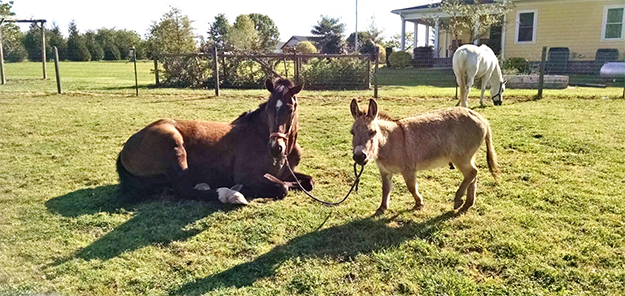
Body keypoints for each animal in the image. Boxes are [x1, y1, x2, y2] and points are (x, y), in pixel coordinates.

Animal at [116, 78, 314, 204]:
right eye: (270, 107)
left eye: (291, 109)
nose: (275, 148)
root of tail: (126, 148)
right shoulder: (248, 176)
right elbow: (282, 187)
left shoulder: (287, 173)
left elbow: (308, 182)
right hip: (172, 143)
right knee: (185, 190)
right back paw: (229, 193)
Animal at [348, 100, 500, 214]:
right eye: (352, 132)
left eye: (372, 132)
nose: (359, 157)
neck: (388, 142)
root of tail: (481, 118)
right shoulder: (385, 171)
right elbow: (385, 189)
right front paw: (382, 208)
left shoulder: (408, 169)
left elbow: (411, 187)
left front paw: (419, 203)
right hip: (468, 156)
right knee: (473, 175)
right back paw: (468, 203)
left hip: (461, 157)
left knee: (472, 173)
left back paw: (458, 199)